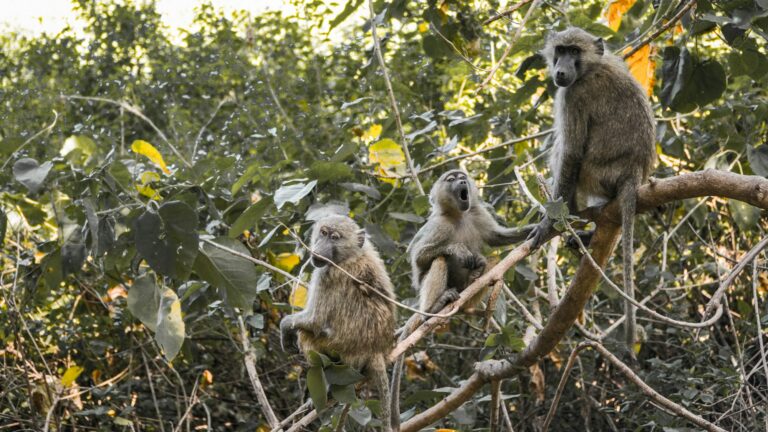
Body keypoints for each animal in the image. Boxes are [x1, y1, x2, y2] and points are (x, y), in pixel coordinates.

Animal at [280, 215, 396, 431]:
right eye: (323, 233)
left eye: (334, 238)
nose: (318, 249)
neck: (349, 257)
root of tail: (375, 348)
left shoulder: (325, 274)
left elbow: (314, 321)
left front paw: (285, 328)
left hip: (342, 351)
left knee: (306, 335)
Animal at [390, 169, 532, 431]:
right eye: (451, 179)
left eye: (461, 176)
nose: (462, 180)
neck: (459, 215)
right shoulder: (438, 225)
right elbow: (420, 258)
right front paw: (457, 249)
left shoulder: (477, 214)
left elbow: (498, 238)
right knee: (439, 260)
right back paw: (434, 307)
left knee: (491, 262)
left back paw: (476, 280)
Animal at [528, 27, 657, 353]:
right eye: (561, 50)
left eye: (574, 52)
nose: (561, 71)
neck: (591, 68)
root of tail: (632, 173)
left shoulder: (573, 96)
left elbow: (571, 153)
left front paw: (549, 224)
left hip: (596, 174)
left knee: (563, 152)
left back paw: (573, 220)